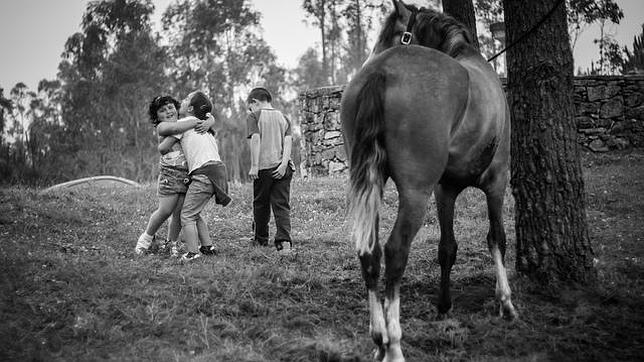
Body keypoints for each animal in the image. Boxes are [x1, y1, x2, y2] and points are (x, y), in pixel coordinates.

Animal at [342, 1, 520, 360]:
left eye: (395, 34)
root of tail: (381, 71)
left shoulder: (444, 190)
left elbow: (447, 248)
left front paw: (444, 304)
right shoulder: (497, 181)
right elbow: (497, 238)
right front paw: (505, 302)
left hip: (375, 185)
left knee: (370, 253)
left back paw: (379, 339)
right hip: (415, 193)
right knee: (396, 250)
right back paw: (394, 343)